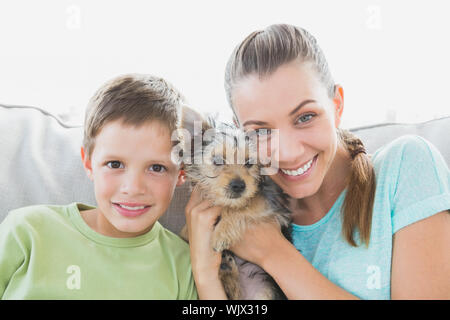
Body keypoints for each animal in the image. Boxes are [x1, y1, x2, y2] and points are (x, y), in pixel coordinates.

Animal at [178, 107, 290, 300]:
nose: (239, 185)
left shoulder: (269, 200)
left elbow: (243, 207)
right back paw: (227, 270)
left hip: (265, 292)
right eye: (217, 160)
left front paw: (221, 233)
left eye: (250, 163)